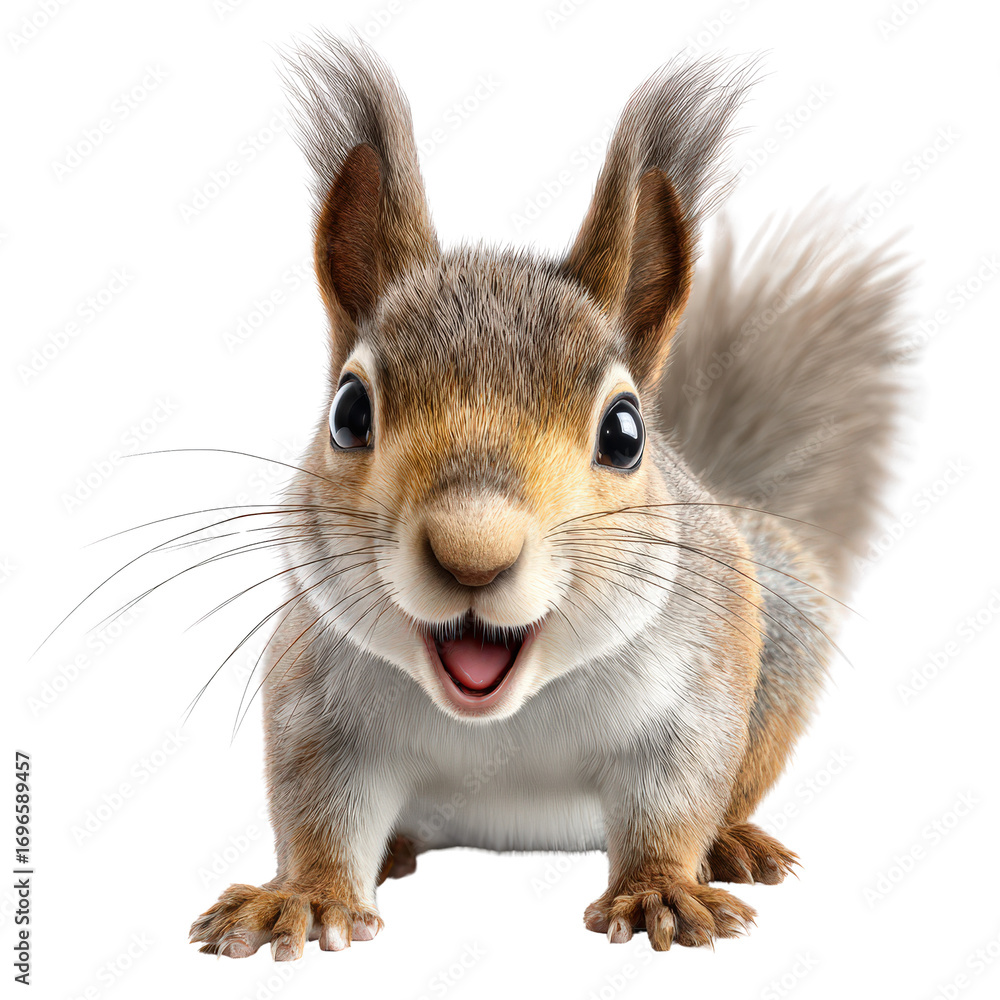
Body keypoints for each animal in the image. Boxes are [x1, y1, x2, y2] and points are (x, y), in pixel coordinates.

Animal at [190, 32, 908, 958]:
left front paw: (662, 890)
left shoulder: (696, 690)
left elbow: (677, 795)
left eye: (625, 433)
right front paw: (305, 896)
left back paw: (734, 844)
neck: (502, 719)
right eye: (348, 412)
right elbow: (316, 808)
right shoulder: (317, 700)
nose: (473, 550)